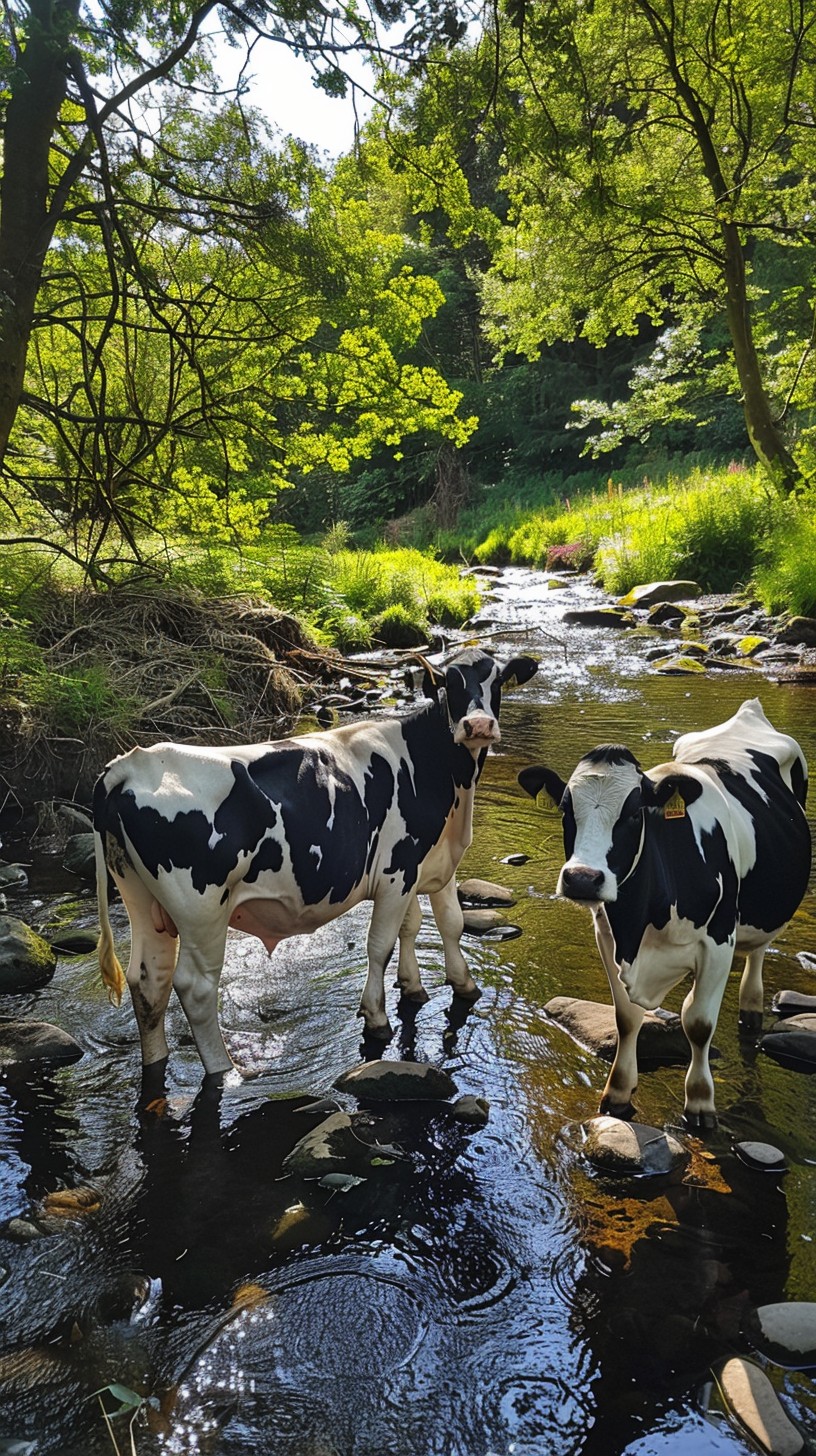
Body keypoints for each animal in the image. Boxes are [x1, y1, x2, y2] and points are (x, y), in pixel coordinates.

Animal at [93, 649, 538, 1077]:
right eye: (449, 682)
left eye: (497, 678)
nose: (477, 725)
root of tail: (130, 764)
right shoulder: (396, 871)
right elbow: (381, 945)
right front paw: (377, 1017)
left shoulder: (425, 863)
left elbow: (438, 924)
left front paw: (440, 985)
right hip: (201, 909)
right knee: (195, 986)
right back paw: (227, 1070)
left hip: (142, 898)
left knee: (149, 981)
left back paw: (157, 1060)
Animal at [518, 699, 811, 1129]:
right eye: (566, 809)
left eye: (633, 814)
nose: (582, 879)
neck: (645, 922)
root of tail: (749, 713)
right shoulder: (609, 935)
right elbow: (626, 1019)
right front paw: (618, 1094)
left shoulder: (719, 941)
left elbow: (699, 1023)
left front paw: (701, 1104)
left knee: (757, 952)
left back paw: (752, 1008)